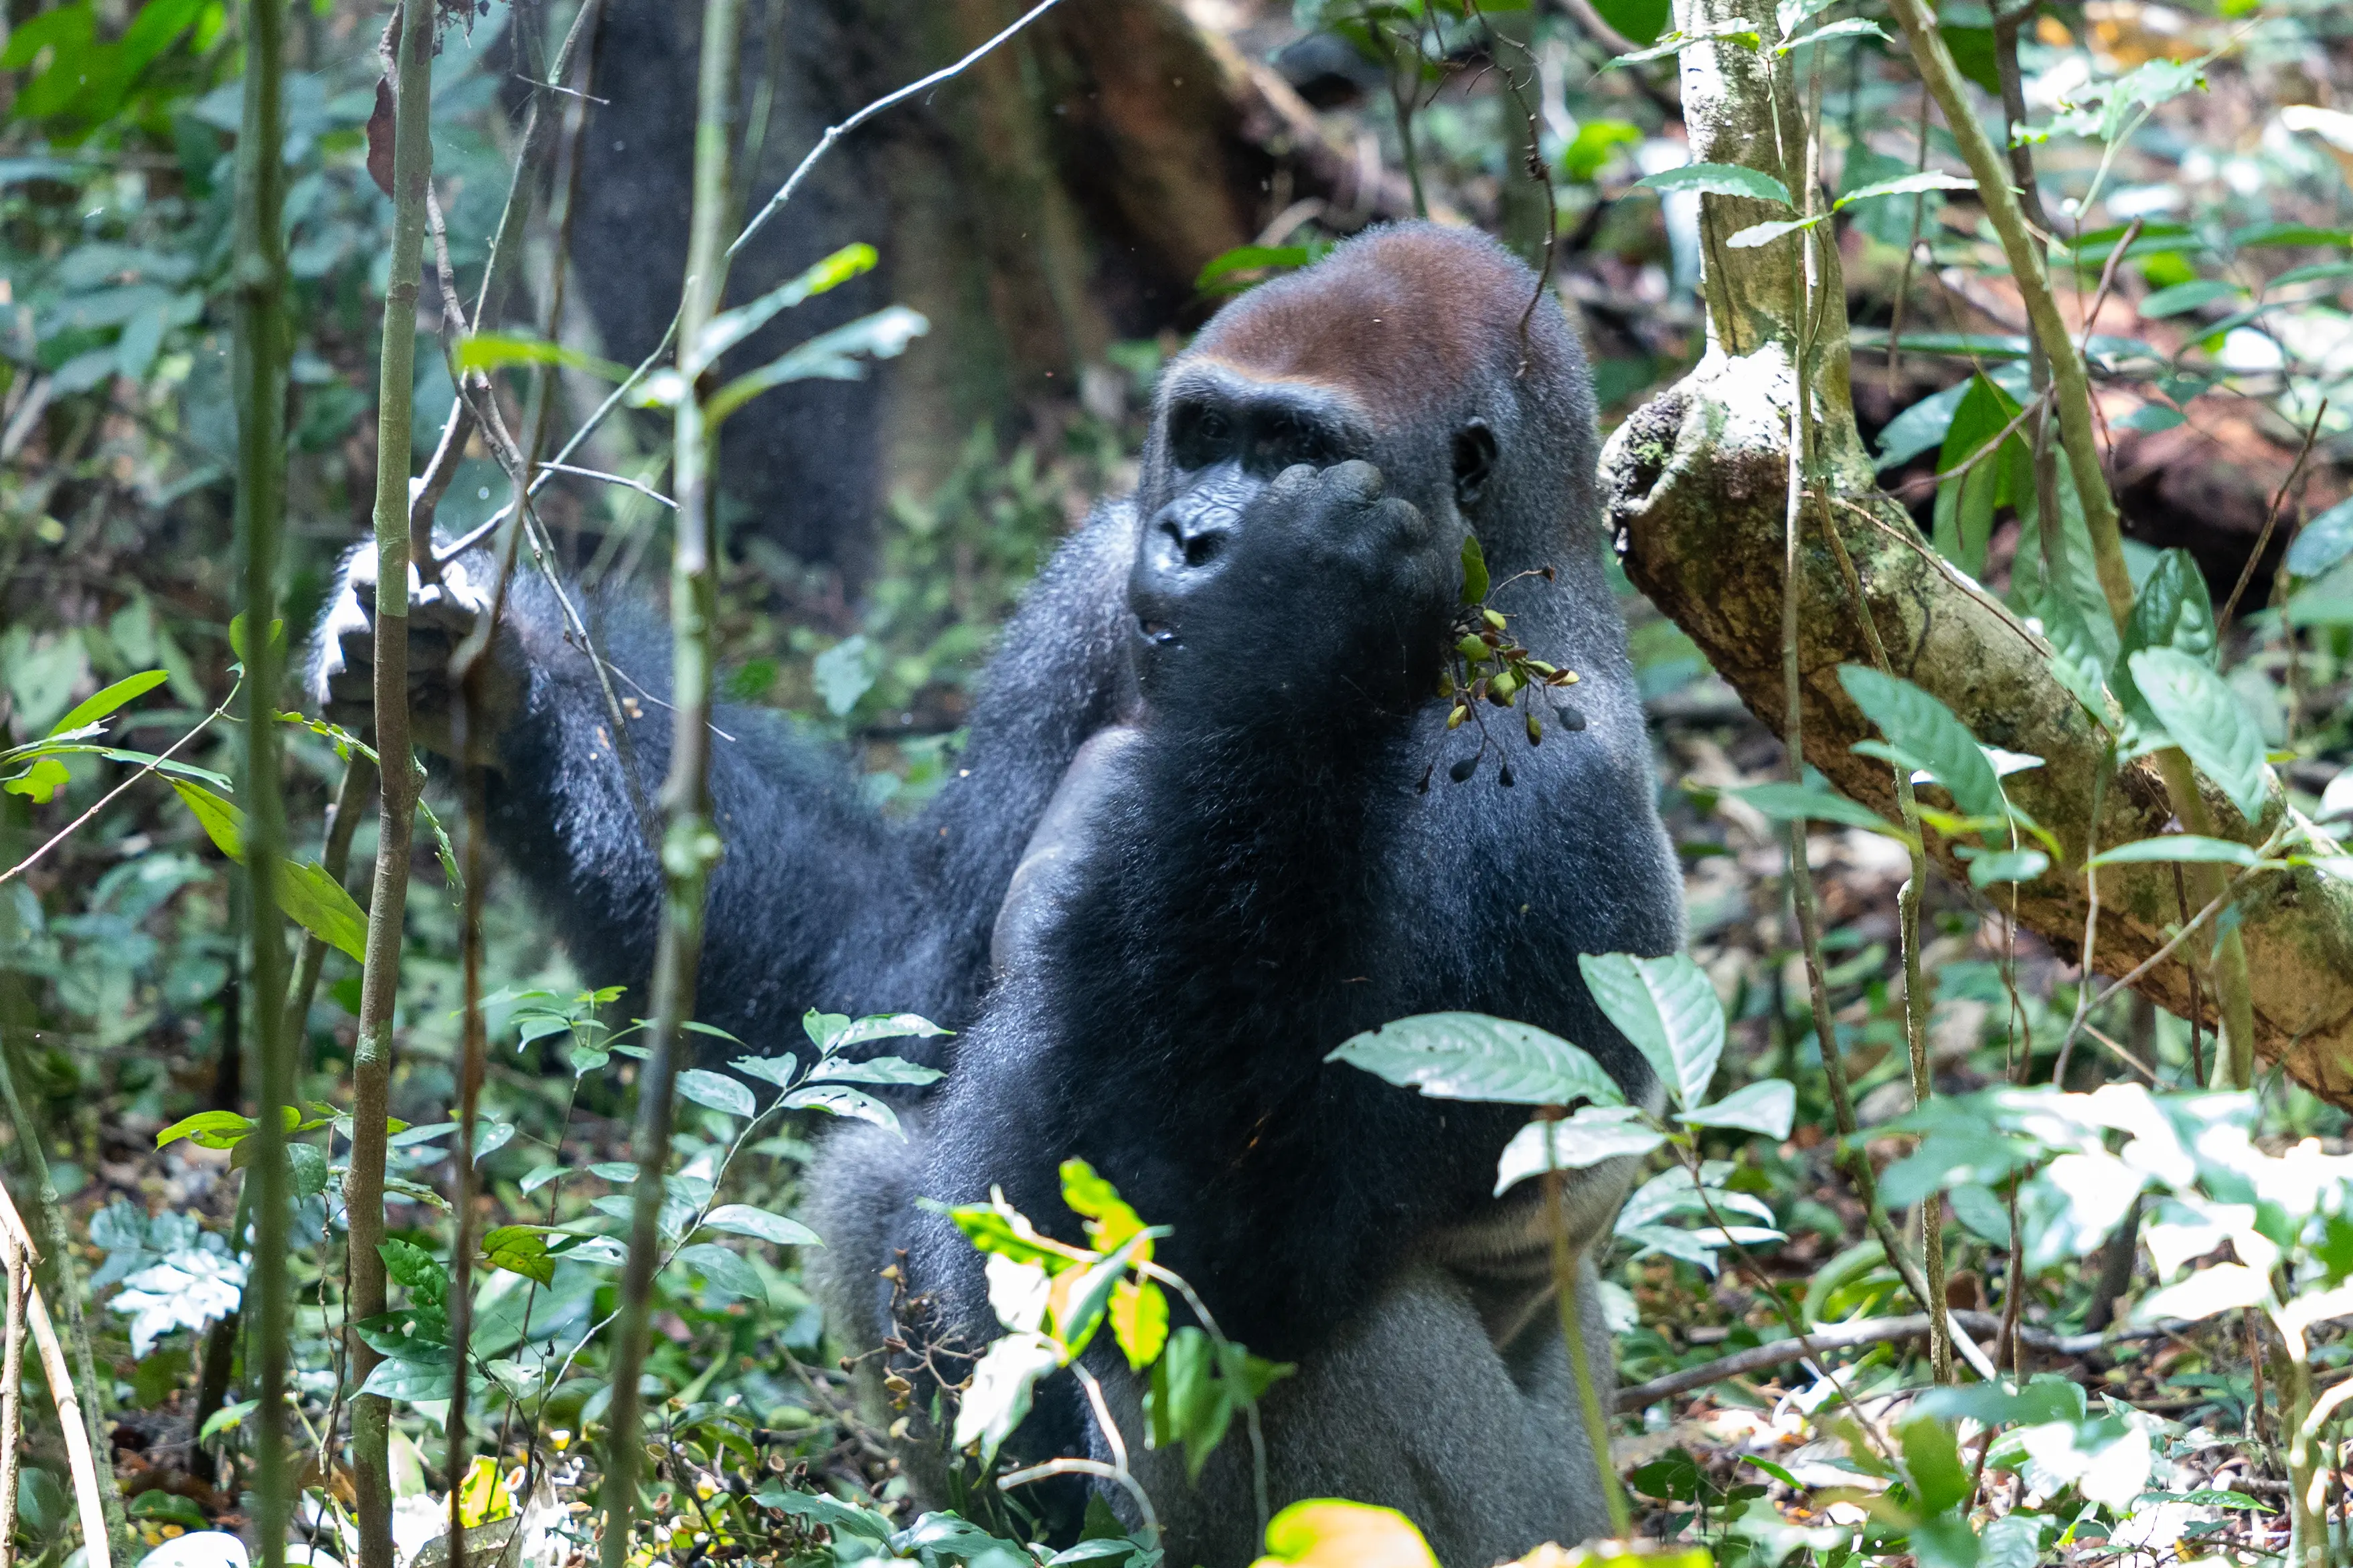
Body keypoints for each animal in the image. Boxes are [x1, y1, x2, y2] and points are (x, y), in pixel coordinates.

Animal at [311, 222, 1683, 1567]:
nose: (1191, 538)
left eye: (1297, 450)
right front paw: (493, 681)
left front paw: (1289, 616)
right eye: (1205, 434)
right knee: (880, 1177)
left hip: (1539, 1529)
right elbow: (898, 982)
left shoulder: (1532, 812)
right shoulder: (1085, 588)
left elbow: (1200, 1238)